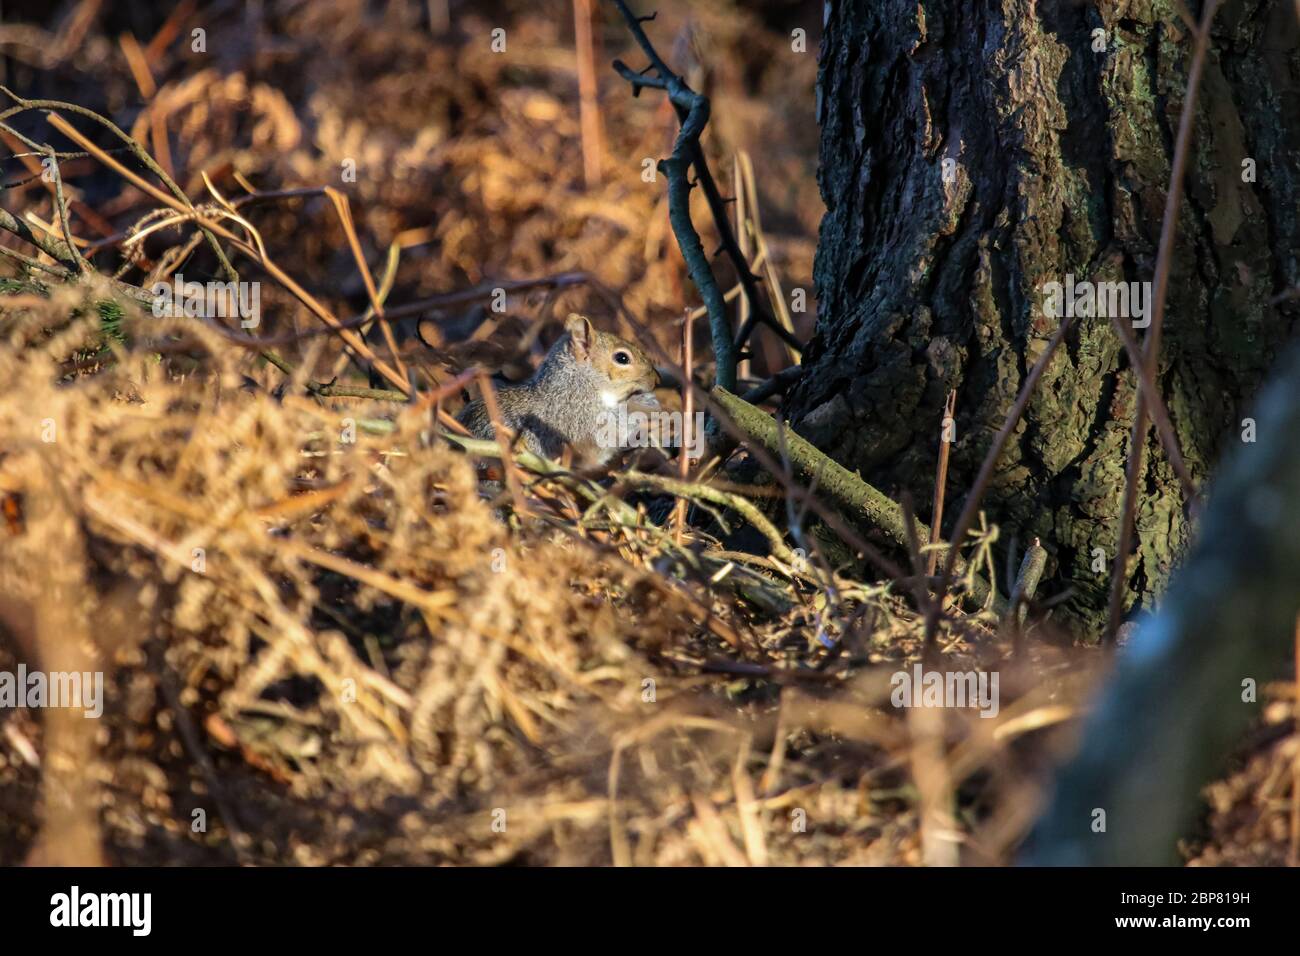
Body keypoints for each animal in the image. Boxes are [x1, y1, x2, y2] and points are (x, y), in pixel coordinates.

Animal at [458, 313, 661, 468]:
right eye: (622, 358)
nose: (657, 380)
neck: (577, 383)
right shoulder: (578, 417)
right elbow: (608, 436)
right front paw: (646, 410)